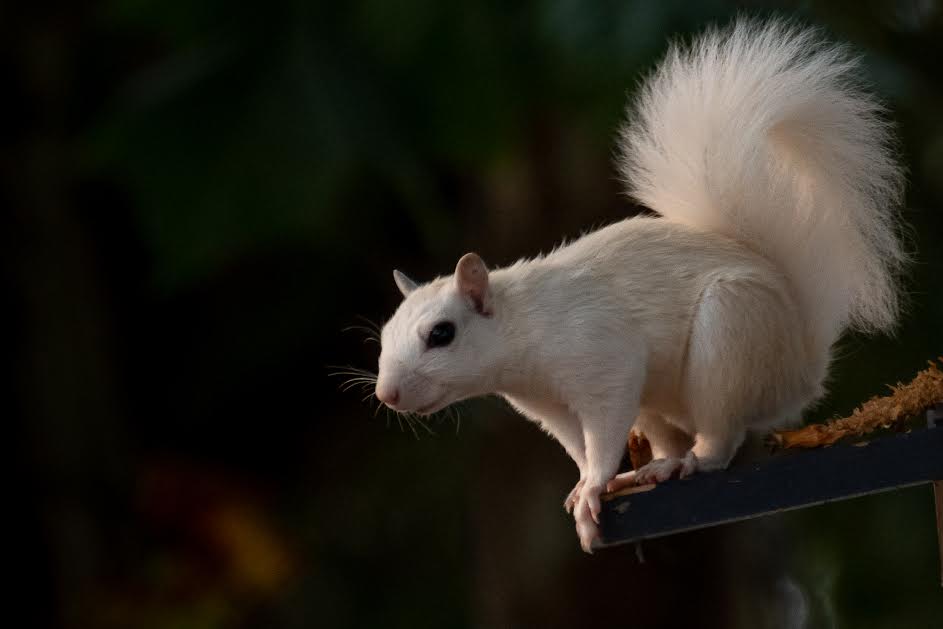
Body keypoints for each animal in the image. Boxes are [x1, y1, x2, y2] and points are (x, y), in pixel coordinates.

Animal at [368, 18, 908, 548]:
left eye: (442, 334)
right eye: (384, 337)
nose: (386, 396)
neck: (524, 330)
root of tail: (801, 366)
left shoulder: (602, 360)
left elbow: (603, 433)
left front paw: (592, 488)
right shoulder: (551, 407)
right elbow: (578, 446)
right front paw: (584, 484)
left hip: (730, 337)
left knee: (720, 440)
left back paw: (688, 462)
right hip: (658, 402)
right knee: (672, 436)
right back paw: (652, 468)